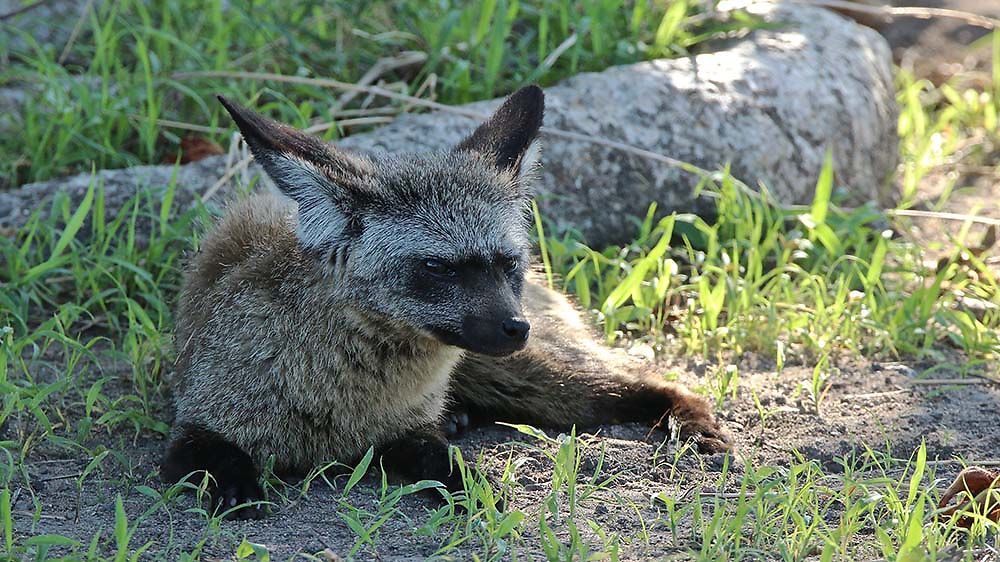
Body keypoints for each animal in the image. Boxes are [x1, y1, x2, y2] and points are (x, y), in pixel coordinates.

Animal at [160, 83, 732, 516]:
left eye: (506, 263)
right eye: (438, 267)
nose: (515, 327)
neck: (340, 398)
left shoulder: (408, 434)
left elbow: (448, 464)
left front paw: (476, 485)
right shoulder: (196, 426)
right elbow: (219, 461)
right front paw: (238, 490)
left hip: (539, 379)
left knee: (652, 381)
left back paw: (692, 424)